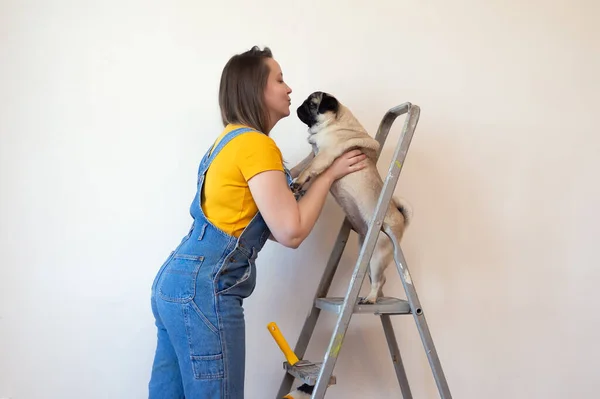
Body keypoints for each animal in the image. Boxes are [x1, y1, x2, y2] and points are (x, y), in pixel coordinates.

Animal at [290, 92, 412, 304]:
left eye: (311, 105)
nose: (299, 106)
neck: (334, 122)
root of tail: (400, 219)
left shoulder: (324, 155)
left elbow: (308, 169)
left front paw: (298, 182)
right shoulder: (313, 154)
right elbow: (301, 166)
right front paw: (292, 175)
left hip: (377, 256)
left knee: (379, 280)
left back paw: (371, 298)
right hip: (368, 256)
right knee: (379, 280)